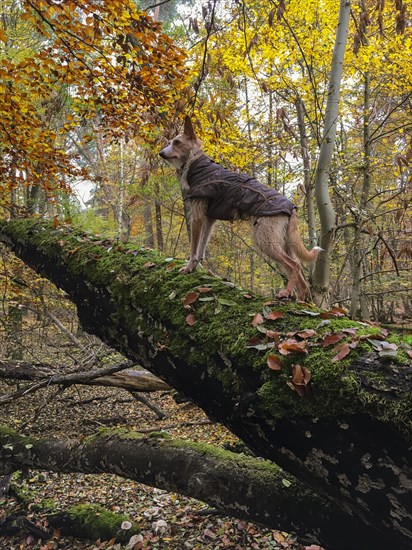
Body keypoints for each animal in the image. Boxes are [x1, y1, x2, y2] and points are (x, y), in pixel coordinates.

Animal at [159, 113, 322, 300]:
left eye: (177, 142)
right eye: (170, 142)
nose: (161, 153)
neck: (197, 162)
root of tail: (292, 208)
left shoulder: (197, 217)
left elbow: (194, 248)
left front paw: (188, 268)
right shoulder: (209, 219)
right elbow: (201, 249)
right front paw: (195, 267)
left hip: (265, 239)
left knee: (294, 265)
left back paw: (286, 292)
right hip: (285, 242)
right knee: (300, 276)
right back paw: (300, 301)